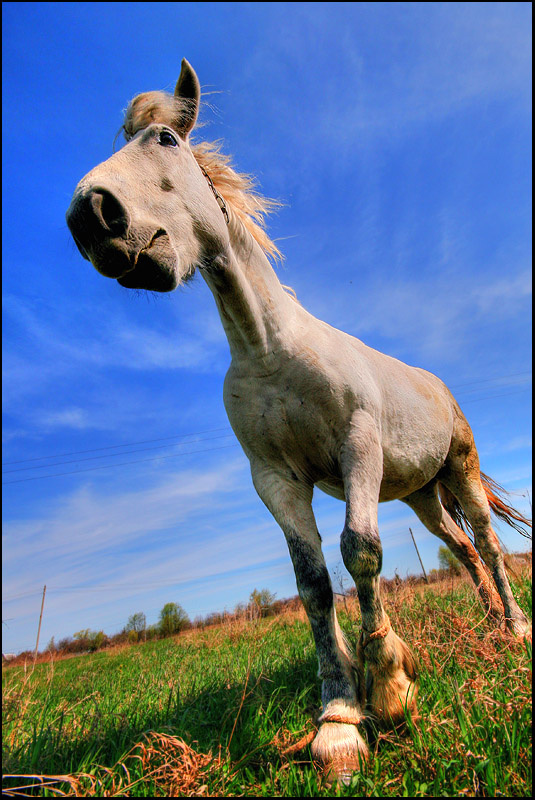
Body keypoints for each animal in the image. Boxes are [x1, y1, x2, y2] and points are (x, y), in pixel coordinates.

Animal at [66, 59, 531, 782]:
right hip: (422, 497)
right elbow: (312, 584)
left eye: (165, 139)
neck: (268, 349)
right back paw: (484, 624)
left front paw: (389, 688)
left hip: (460, 470)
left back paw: (512, 631)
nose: (90, 216)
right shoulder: (275, 480)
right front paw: (339, 722)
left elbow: (360, 552)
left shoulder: (356, 449)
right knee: (459, 550)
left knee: (485, 541)